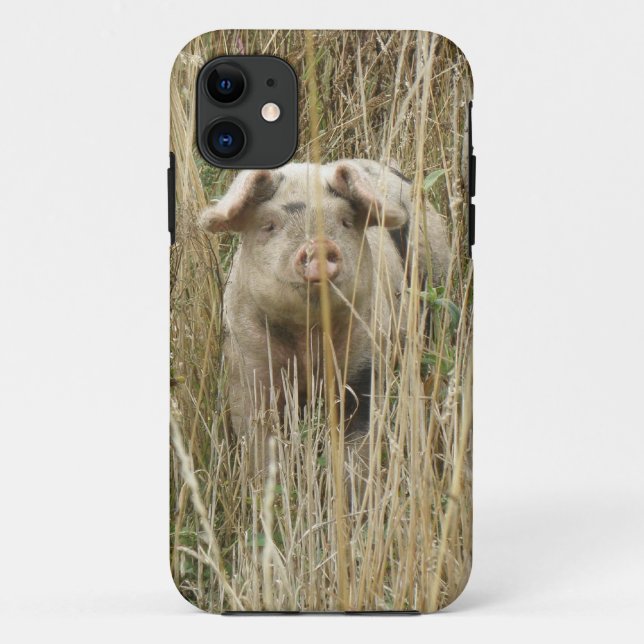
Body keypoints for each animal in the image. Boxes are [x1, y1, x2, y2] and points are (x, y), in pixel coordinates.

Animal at [199, 160, 449, 473]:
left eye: (345, 221)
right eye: (269, 225)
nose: (318, 245)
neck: (308, 338)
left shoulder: (366, 359)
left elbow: (358, 445)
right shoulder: (247, 365)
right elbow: (259, 440)